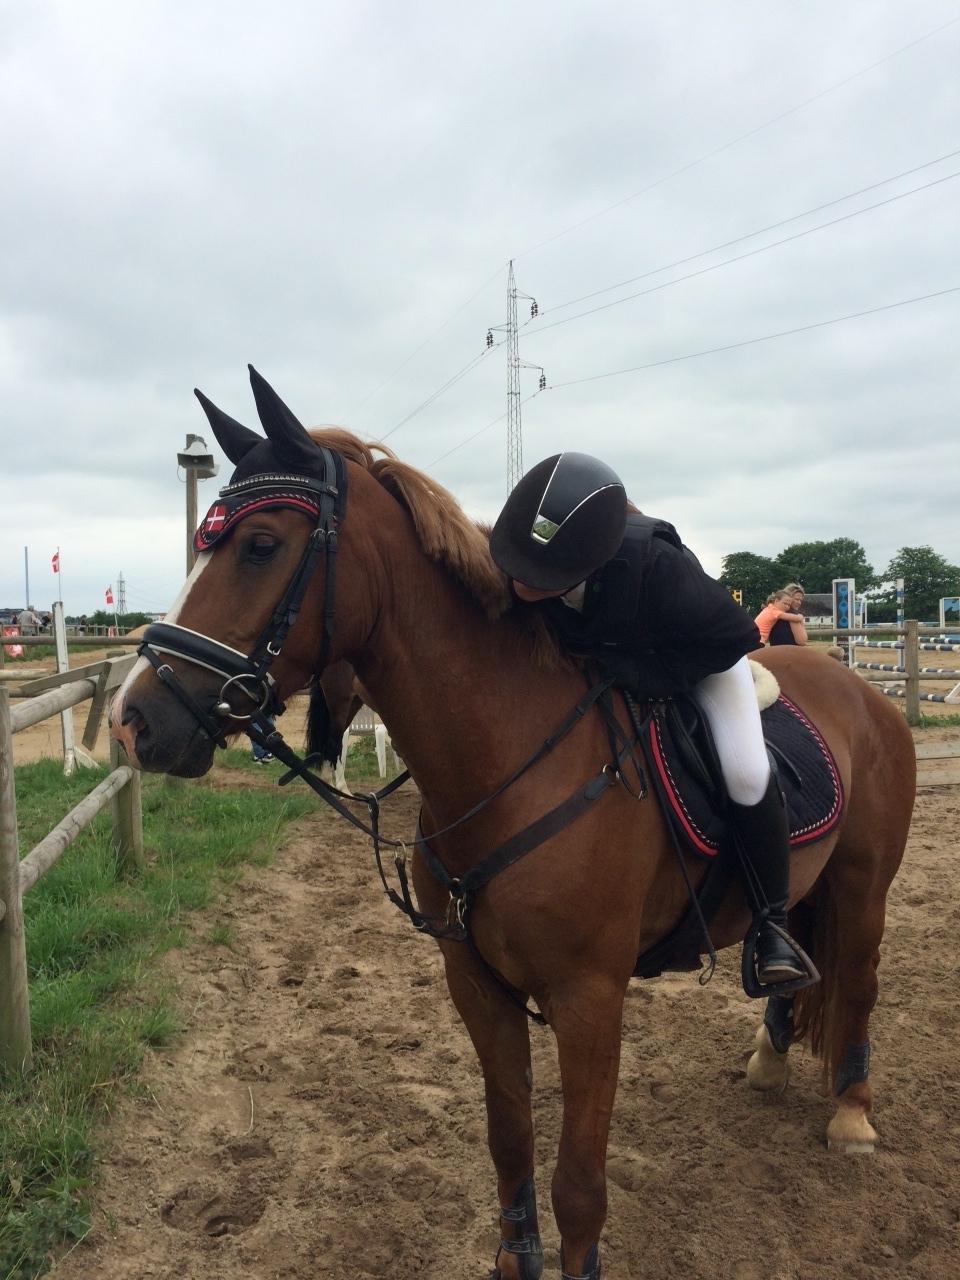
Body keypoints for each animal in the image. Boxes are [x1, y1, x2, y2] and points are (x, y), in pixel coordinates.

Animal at [110, 368, 916, 1269]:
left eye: (258, 546)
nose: (134, 721)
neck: (505, 763)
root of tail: (859, 689)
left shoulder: (589, 999)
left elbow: (580, 1186)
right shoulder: (478, 986)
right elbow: (509, 1142)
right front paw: (513, 1258)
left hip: (864, 888)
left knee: (859, 981)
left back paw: (852, 1111)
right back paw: (771, 1056)